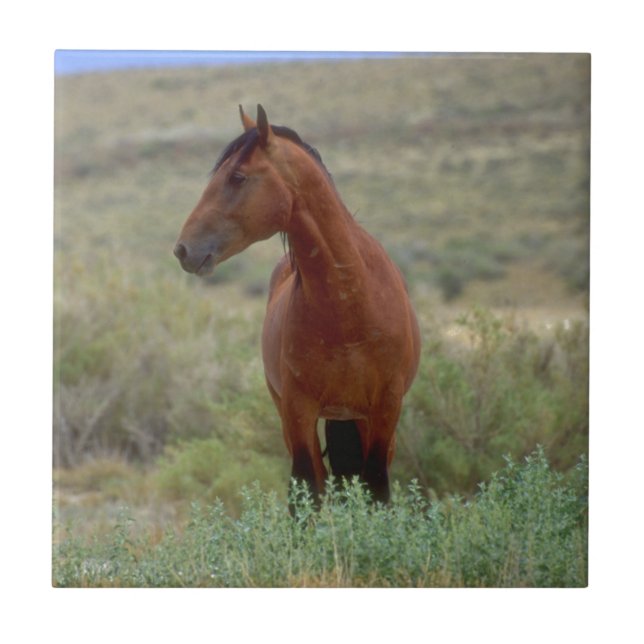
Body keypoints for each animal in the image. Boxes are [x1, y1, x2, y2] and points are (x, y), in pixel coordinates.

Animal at [174, 105, 421, 504]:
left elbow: (376, 488)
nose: (183, 249)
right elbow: (307, 489)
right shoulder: (297, 409)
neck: (349, 306)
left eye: (238, 176)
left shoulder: (387, 408)